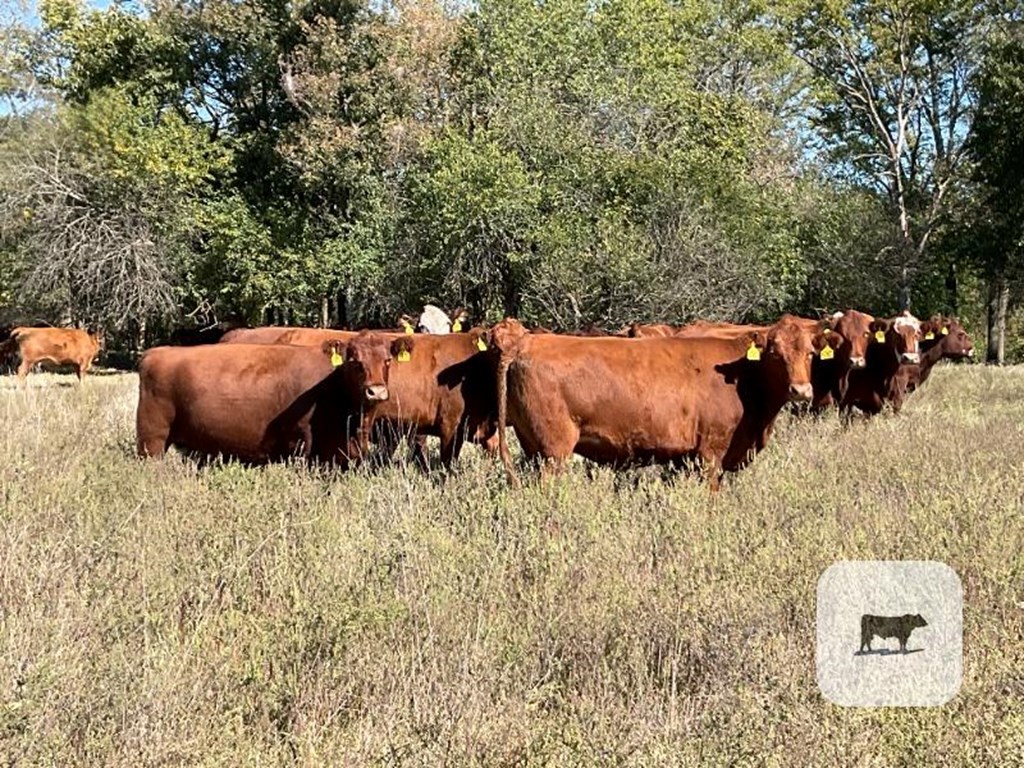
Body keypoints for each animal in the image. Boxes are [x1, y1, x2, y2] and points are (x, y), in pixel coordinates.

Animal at [138, 331, 401, 466]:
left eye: (387, 360)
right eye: (355, 361)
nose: (376, 391)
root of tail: (155, 353)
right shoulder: (303, 443)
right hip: (152, 440)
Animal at [489, 315, 839, 489]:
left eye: (810, 353)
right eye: (775, 354)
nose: (800, 390)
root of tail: (523, 344)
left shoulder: (685, 458)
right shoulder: (711, 453)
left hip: (533, 449)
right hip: (554, 451)